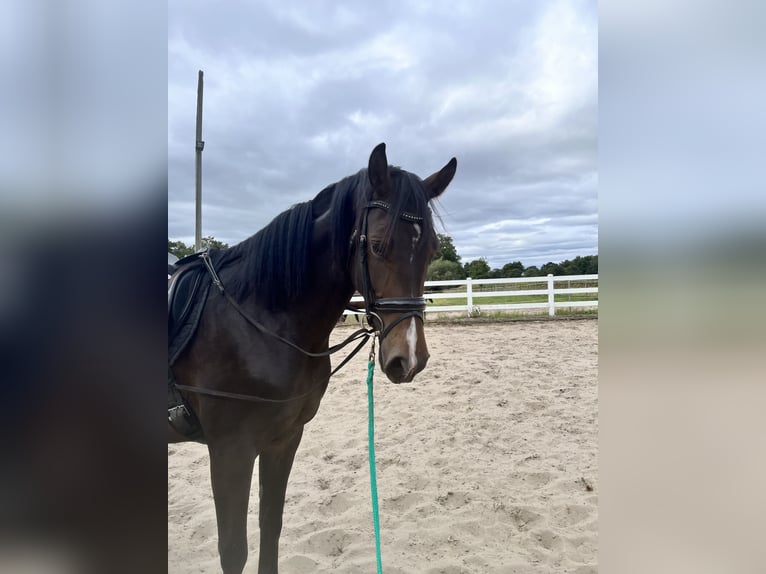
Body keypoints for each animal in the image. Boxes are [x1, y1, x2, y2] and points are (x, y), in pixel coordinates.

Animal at [168, 143, 457, 573]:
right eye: (377, 245)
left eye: (432, 249)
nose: (409, 359)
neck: (261, 318)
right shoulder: (230, 450)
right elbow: (233, 549)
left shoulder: (283, 439)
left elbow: (271, 525)